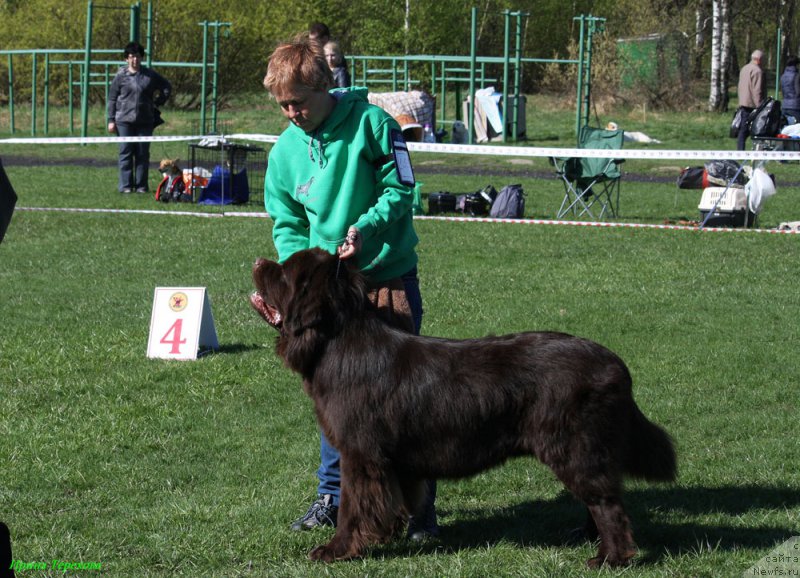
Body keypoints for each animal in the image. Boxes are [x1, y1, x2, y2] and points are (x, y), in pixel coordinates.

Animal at [248, 248, 676, 568]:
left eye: (283, 273)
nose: (257, 261)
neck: (335, 345)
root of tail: (615, 363)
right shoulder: (392, 460)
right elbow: (396, 498)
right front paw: (390, 535)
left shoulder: (361, 453)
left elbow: (355, 507)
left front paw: (337, 550)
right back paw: (586, 538)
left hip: (573, 445)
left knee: (607, 502)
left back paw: (610, 557)